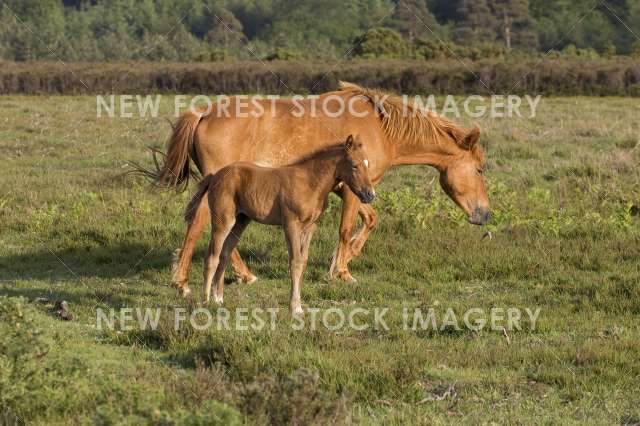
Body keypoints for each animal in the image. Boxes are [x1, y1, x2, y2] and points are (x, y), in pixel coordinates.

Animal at [145, 82, 490, 288]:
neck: (380, 128)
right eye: (480, 169)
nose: (485, 214)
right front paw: (342, 271)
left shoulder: (356, 189)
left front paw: (347, 258)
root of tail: (203, 114)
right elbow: (346, 228)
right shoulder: (351, 190)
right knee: (202, 224)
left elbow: (370, 219)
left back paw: (240, 274)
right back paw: (183, 281)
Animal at [184, 135, 375, 314]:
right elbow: (295, 262)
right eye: (354, 165)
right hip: (223, 221)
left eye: (367, 164)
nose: (370, 194)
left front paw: (298, 305)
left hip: (240, 221)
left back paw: (218, 299)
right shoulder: (291, 224)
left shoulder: (309, 228)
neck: (309, 182)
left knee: (224, 254)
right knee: (212, 257)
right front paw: (295, 308)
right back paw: (206, 302)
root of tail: (214, 176)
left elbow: (303, 262)